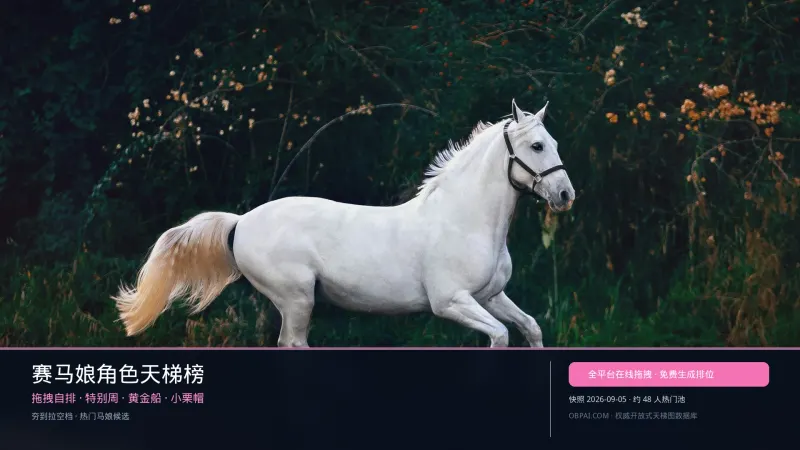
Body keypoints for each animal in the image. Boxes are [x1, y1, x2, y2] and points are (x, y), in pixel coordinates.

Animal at [114, 99, 575, 347]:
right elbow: (500, 336)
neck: (465, 220)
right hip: (297, 298)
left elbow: (530, 328)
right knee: (293, 342)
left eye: (554, 142)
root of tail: (240, 222)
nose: (565, 195)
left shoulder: (491, 296)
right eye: (537, 146)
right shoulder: (451, 302)